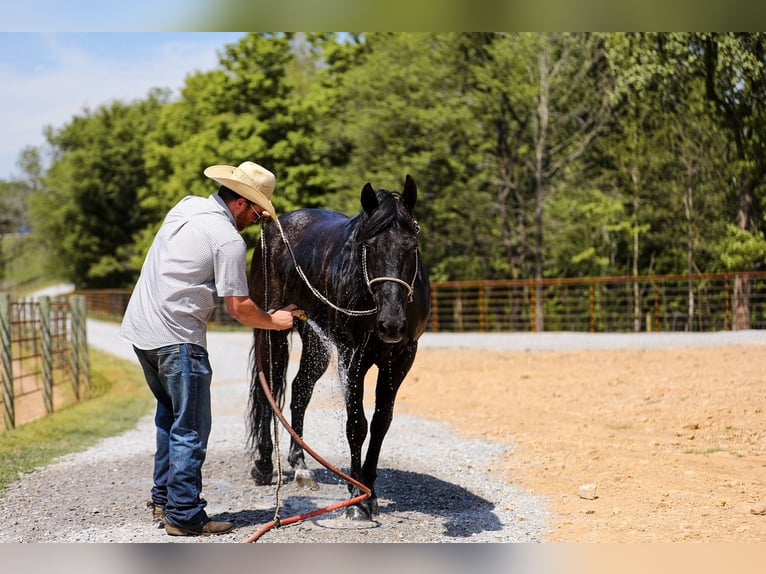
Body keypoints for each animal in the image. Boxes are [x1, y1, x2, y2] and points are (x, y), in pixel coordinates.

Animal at [247, 174, 431, 520]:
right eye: (369, 247)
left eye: (411, 246)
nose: (391, 324)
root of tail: (275, 227)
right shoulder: (352, 355)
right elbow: (357, 423)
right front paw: (357, 500)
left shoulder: (400, 358)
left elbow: (381, 422)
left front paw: (369, 489)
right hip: (271, 332)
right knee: (269, 391)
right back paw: (263, 465)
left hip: (315, 340)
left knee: (300, 389)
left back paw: (301, 466)